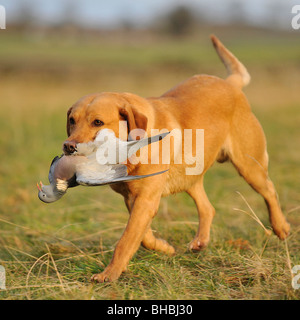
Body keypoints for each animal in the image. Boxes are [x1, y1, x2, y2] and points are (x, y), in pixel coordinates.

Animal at [62, 36, 288, 282]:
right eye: (72, 120)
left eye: (98, 122)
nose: (69, 146)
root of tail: (231, 83)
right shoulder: (133, 199)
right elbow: (143, 236)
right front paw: (164, 247)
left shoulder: (146, 199)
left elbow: (126, 240)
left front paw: (109, 274)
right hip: (190, 175)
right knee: (208, 208)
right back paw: (200, 242)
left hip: (249, 165)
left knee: (270, 190)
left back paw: (281, 227)